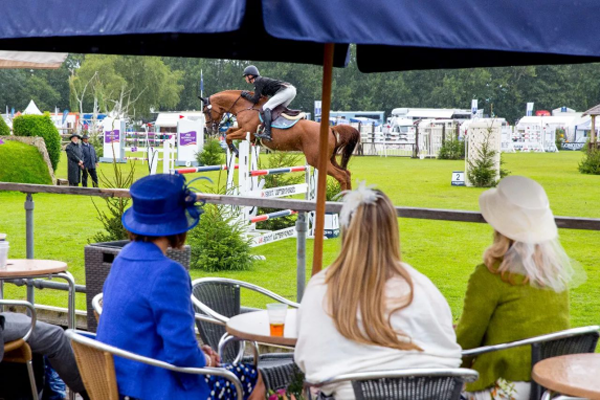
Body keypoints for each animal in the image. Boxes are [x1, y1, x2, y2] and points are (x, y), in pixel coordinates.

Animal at [202, 90, 358, 191]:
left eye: (205, 111)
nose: (209, 130)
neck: (246, 107)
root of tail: (331, 129)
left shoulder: (247, 132)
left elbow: (229, 136)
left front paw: (235, 150)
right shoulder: (242, 130)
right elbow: (229, 132)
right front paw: (233, 149)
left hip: (317, 159)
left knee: (342, 176)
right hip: (329, 158)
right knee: (347, 174)